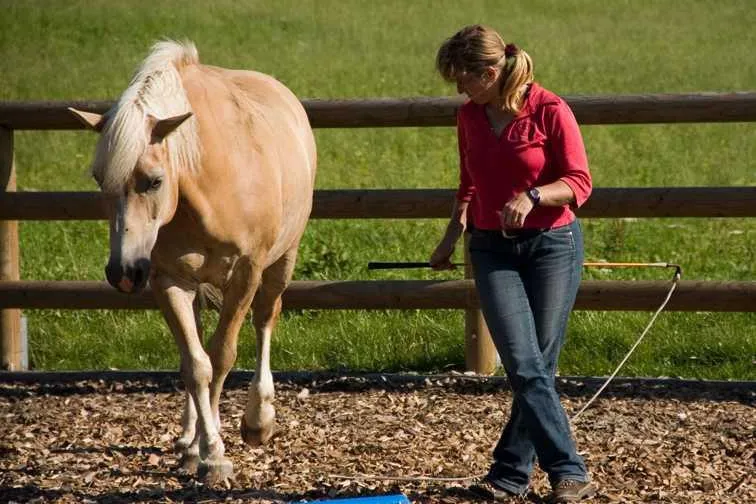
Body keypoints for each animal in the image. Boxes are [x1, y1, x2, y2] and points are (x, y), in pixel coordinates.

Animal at [69, 40, 317, 484]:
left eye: (153, 181)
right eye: (99, 179)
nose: (122, 273)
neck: (204, 184)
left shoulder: (246, 273)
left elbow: (221, 357)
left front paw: (216, 452)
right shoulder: (166, 280)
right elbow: (195, 365)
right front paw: (204, 448)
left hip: (282, 261)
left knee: (265, 319)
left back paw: (258, 418)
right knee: (197, 343)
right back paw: (189, 438)